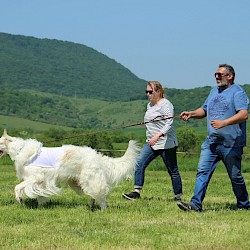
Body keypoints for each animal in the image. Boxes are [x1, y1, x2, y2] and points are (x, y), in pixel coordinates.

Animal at [0, 129, 140, 209]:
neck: (20, 149)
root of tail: (97, 156)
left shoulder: (36, 177)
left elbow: (17, 187)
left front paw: (20, 199)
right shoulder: (42, 182)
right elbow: (40, 195)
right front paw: (41, 206)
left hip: (89, 179)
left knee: (100, 195)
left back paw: (102, 209)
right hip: (78, 182)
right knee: (93, 195)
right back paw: (91, 206)